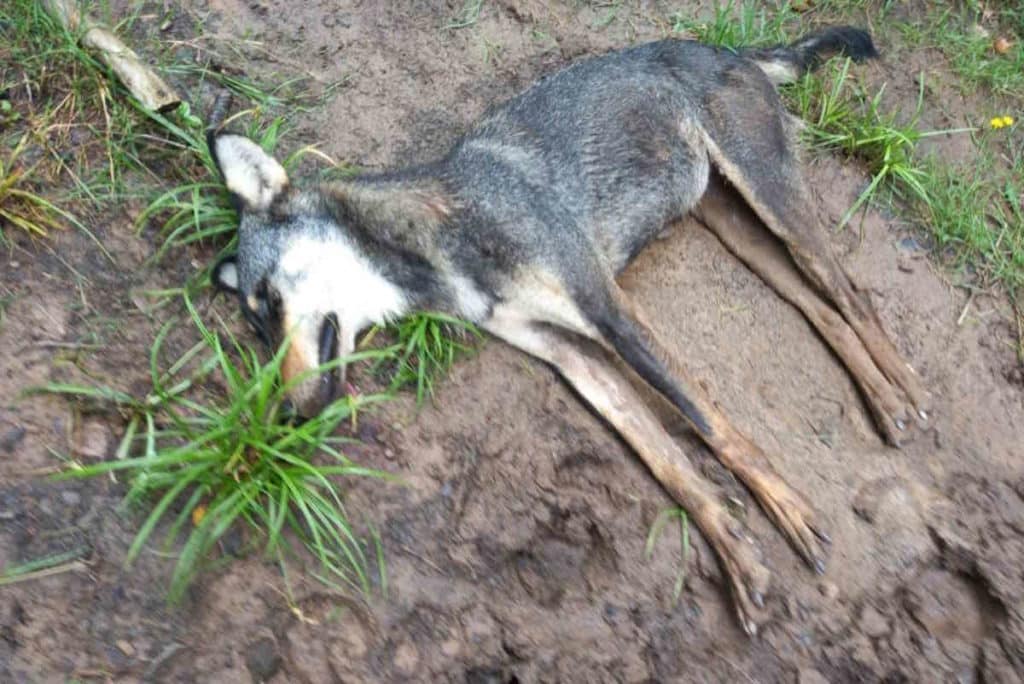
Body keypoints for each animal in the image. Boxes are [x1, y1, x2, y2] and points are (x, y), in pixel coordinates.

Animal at [208, 27, 930, 634]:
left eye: (270, 302)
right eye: (257, 327)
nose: (285, 416)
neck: (439, 239)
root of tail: (719, 47)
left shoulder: (611, 313)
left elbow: (713, 427)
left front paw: (788, 511)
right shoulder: (573, 357)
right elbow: (671, 465)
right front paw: (738, 557)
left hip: (771, 195)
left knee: (852, 295)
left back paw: (904, 391)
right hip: (735, 225)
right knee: (821, 309)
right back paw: (885, 398)